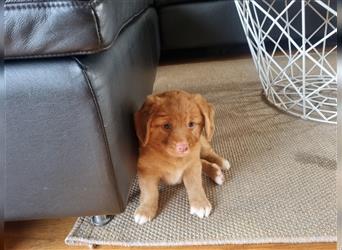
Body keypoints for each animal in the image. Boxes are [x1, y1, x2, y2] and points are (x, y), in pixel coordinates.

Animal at [134, 90, 230, 225]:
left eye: (191, 124)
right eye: (166, 126)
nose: (183, 147)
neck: (173, 158)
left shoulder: (192, 165)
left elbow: (195, 184)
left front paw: (200, 203)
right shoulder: (146, 171)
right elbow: (150, 192)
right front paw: (145, 210)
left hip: (201, 143)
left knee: (207, 153)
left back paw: (220, 164)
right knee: (202, 161)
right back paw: (216, 171)